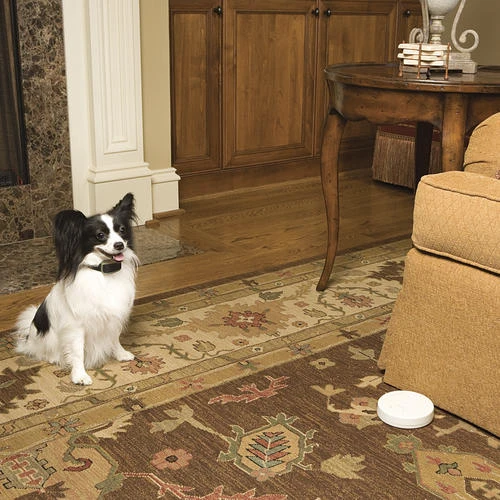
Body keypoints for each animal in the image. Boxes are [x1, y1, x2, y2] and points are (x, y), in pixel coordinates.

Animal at [15, 193, 140, 385]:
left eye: (122, 230)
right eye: (100, 235)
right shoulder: (77, 326)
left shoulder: (113, 316)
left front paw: (120, 353)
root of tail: (29, 334)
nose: (120, 245)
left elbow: (114, 337)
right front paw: (80, 375)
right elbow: (77, 351)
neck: (103, 272)